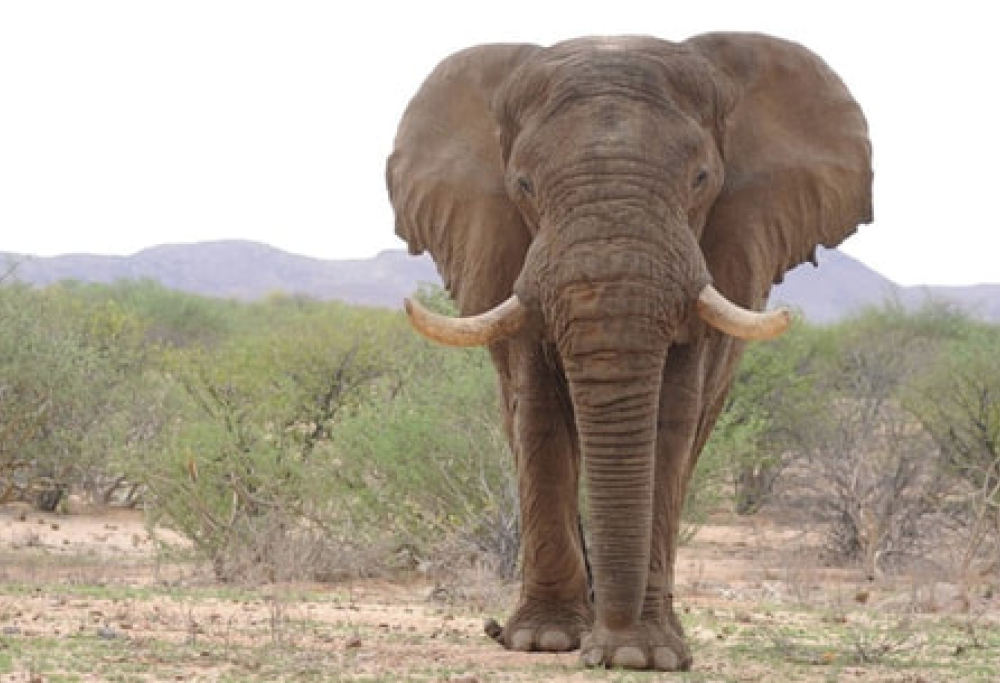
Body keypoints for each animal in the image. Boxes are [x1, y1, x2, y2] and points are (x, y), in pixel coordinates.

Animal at [385, 33, 872, 671]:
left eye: (701, 179)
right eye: (523, 186)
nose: (605, 650)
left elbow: (672, 420)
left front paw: (646, 654)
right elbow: (538, 412)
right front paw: (546, 641)